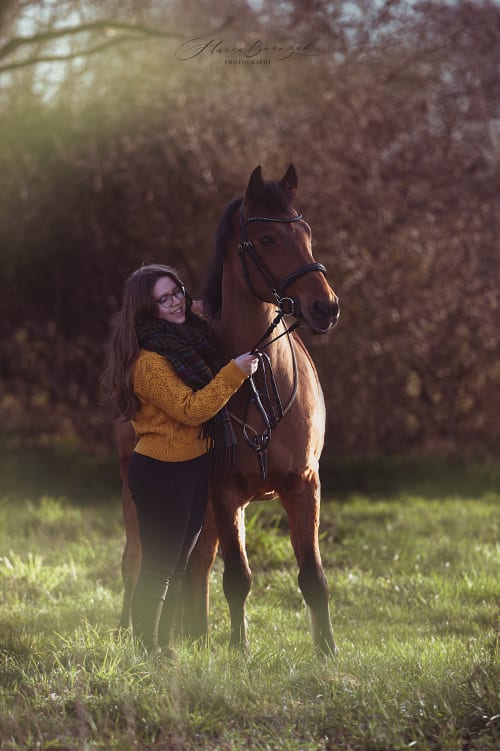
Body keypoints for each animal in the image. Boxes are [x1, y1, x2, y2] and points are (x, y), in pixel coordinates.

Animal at [117, 164, 340, 655]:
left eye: (306, 232)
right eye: (267, 239)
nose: (326, 306)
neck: (258, 382)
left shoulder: (303, 485)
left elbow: (313, 576)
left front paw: (328, 653)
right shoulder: (225, 491)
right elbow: (238, 578)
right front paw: (240, 651)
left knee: (194, 562)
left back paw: (193, 636)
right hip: (136, 491)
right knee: (137, 558)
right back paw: (130, 634)